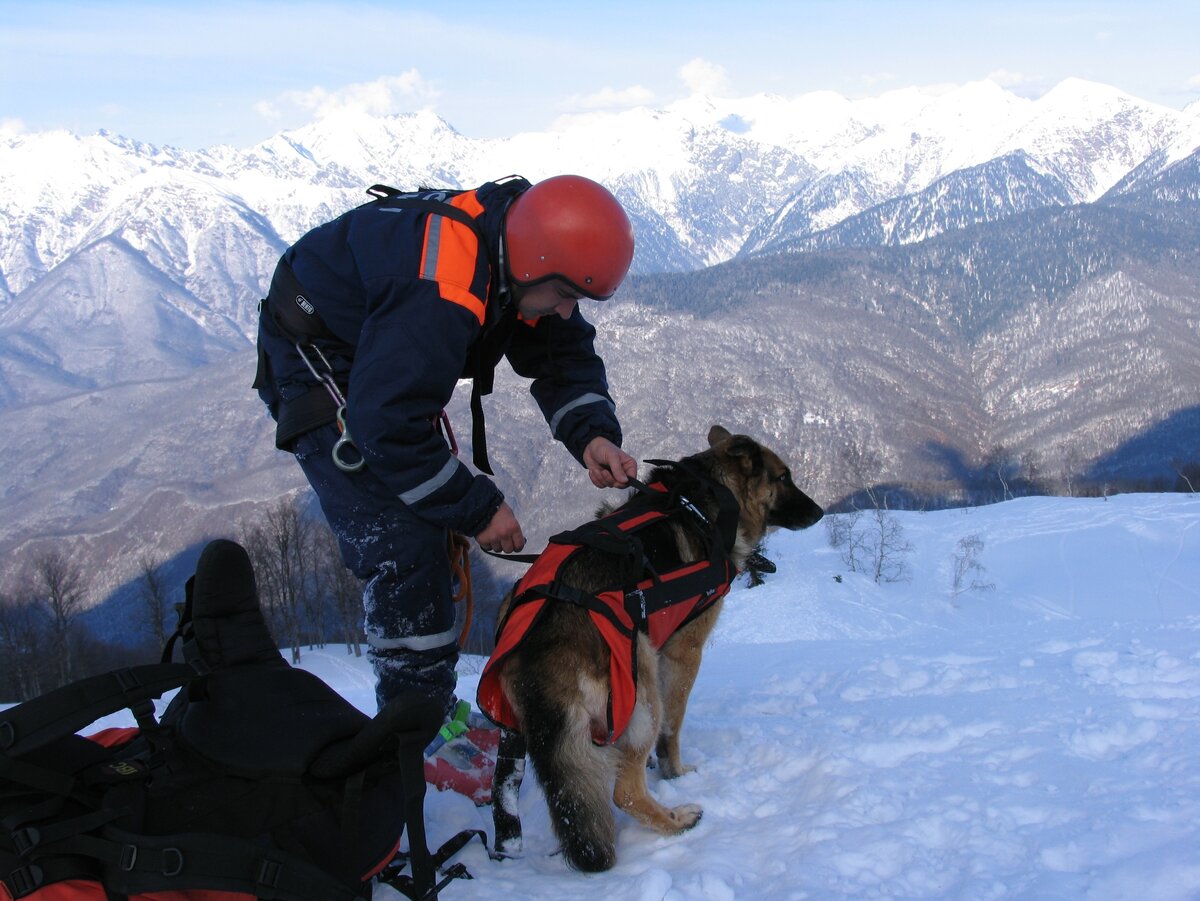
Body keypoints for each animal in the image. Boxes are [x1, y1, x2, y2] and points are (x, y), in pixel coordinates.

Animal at [482, 429, 820, 873]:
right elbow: (673, 729)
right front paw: (675, 771)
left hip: (523, 731)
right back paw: (677, 819)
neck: (707, 498)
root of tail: (542, 640)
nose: (819, 512)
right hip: (640, 692)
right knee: (624, 792)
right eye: (783, 477)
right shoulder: (684, 653)